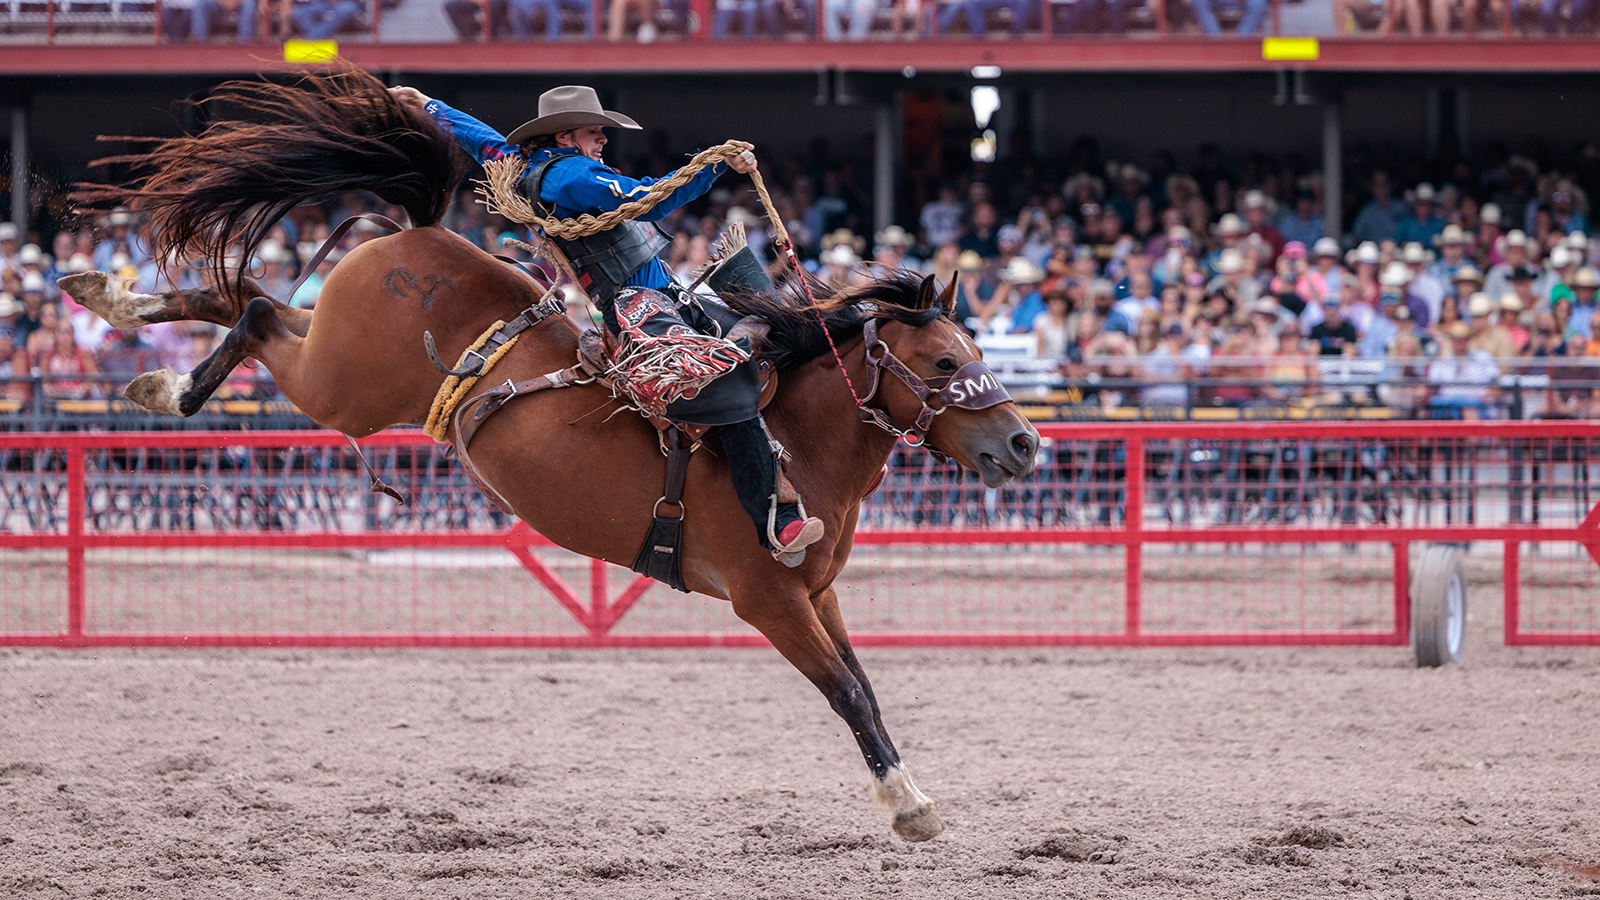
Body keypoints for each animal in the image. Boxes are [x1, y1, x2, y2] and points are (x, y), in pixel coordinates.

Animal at [62, 66, 1043, 839]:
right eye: (946, 361)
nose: (1026, 443)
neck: (796, 445)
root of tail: (422, 232)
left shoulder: (819, 594)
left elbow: (862, 683)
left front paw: (908, 794)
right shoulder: (769, 600)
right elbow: (845, 691)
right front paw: (910, 806)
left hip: (338, 356)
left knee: (243, 296)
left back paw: (115, 306)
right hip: (341, 386)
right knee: (259, 311)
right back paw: (162, 378)